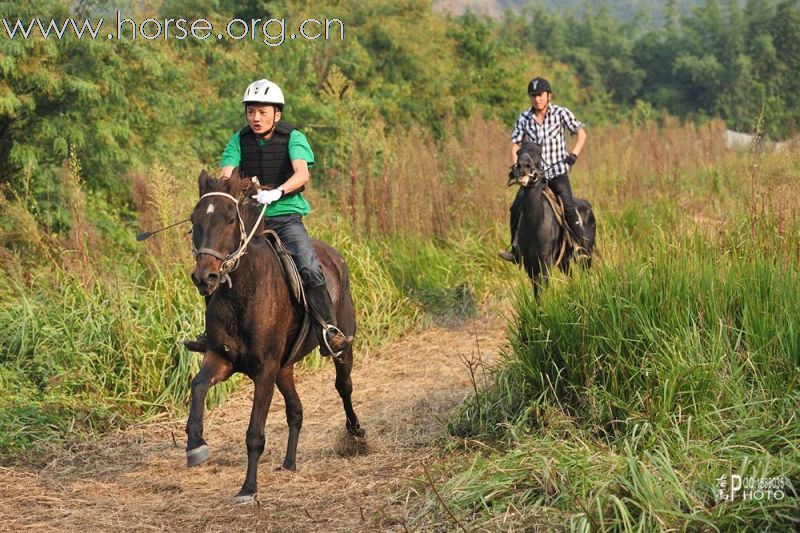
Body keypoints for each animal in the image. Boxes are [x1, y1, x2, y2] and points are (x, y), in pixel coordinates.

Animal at [184, 170, 362, 502]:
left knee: (343, 386)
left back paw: (356, 432)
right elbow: (198, 385)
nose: (206, 277)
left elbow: (255, 433)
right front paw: (195, 445)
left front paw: (248, 488)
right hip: (285, 368)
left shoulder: (264, 370)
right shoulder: (221, 358)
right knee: (296, 410)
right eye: (194, 220)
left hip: (342, 348)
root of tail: (334, 257)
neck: (242, 290)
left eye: (230, 219)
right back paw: (290, 462)